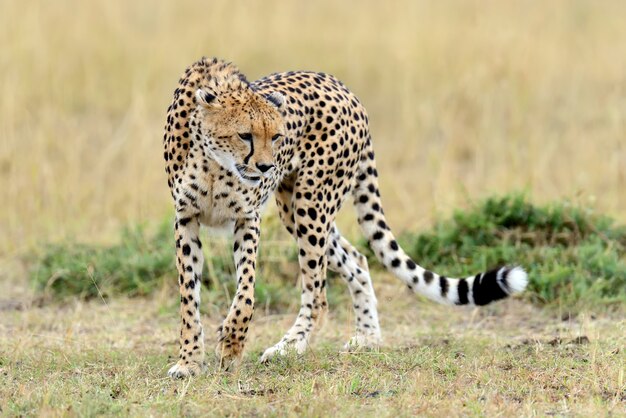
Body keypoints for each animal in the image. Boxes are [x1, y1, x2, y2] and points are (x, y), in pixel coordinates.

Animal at [163, 57, 524, 378]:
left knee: (319, 293)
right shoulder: (186, 219)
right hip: (295, 209)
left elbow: (246, 293)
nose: (266, 167)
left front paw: (231, 345)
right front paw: (189, 361)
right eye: (245, 135)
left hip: (311, 201)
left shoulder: (247, 219)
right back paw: (368, 337)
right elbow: (188, 299)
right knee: (357, 259)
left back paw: (289, 347)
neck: (214, 162)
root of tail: (344, 88)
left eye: (276, 136)